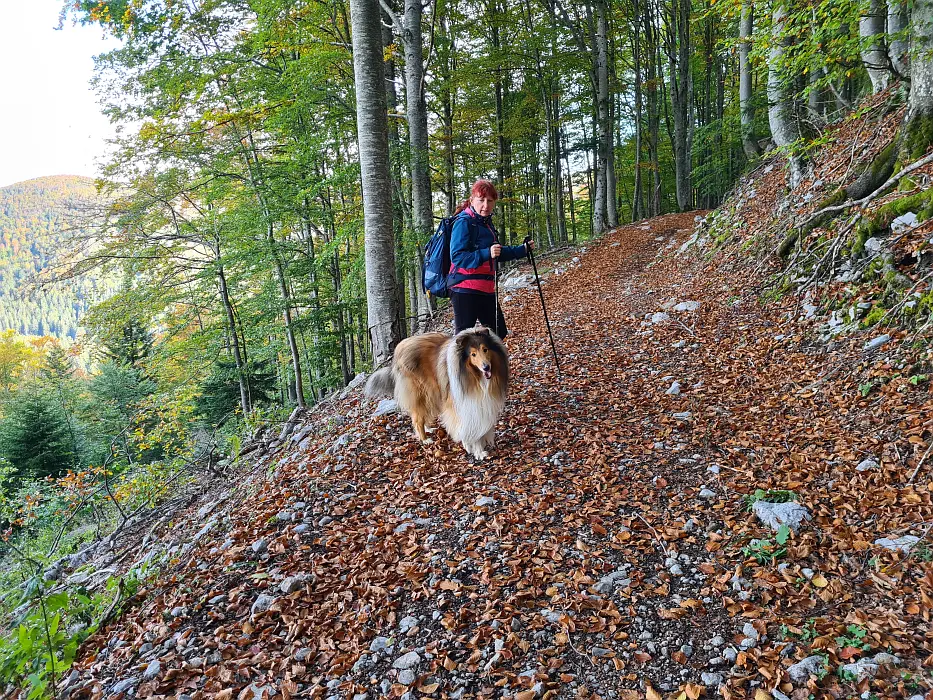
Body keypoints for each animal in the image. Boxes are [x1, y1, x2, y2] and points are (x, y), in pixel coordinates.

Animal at [366, 326, 510, 460]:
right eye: (473, 354)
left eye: (485, 349)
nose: (486, 367)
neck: (473, 375)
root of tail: (398, 349)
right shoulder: (463, 402)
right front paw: (477, 450)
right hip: (420, 395)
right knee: (416, 419)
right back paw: (424, 439)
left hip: (432, 393)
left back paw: (428, 429)